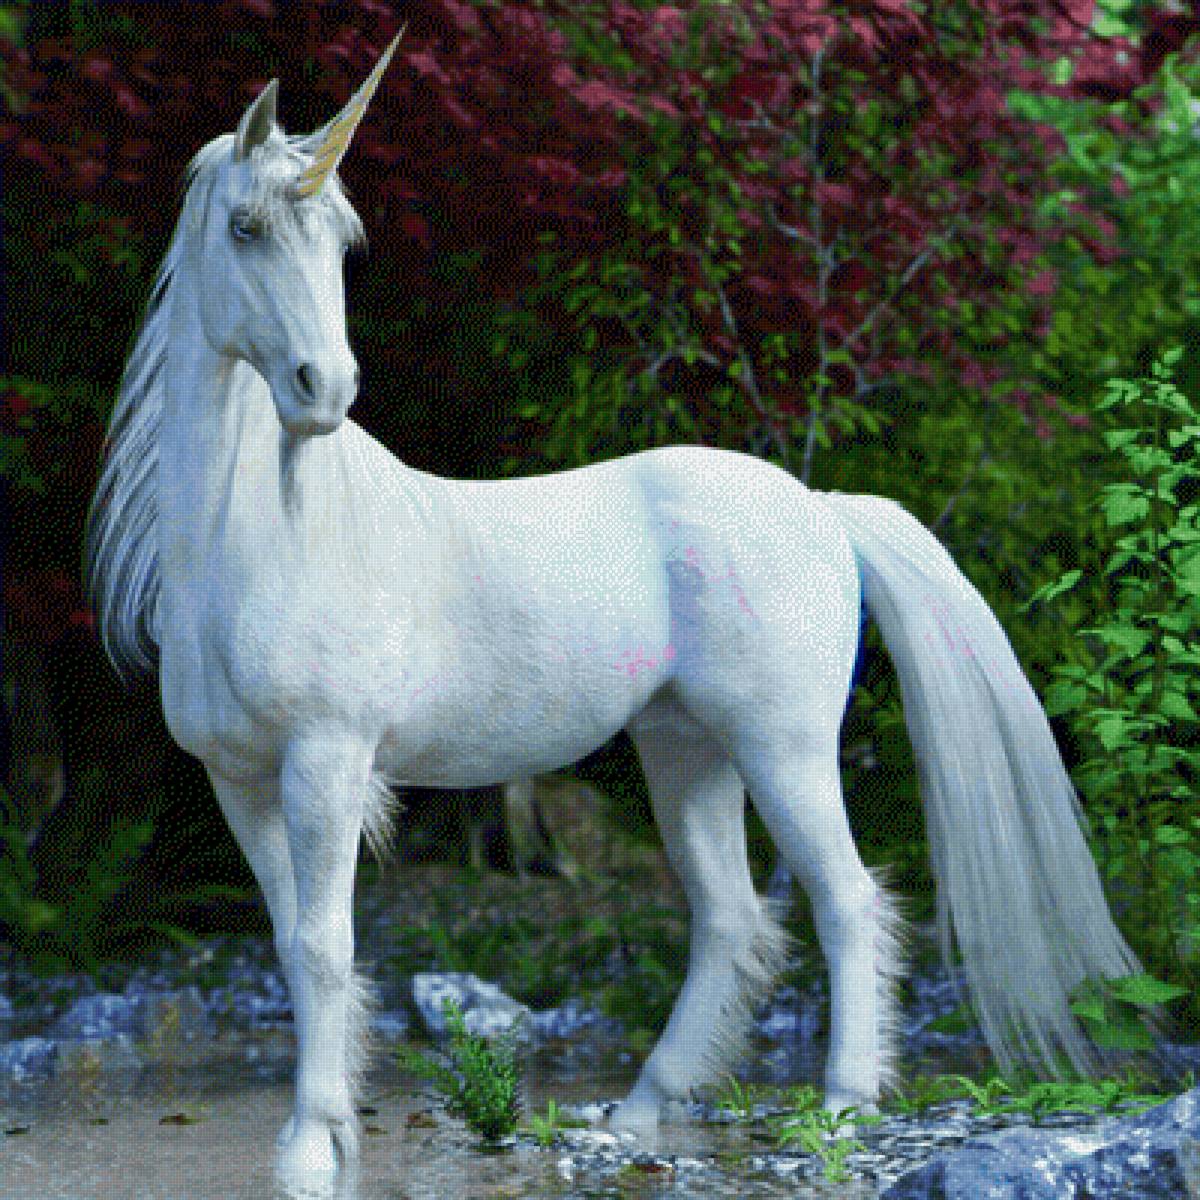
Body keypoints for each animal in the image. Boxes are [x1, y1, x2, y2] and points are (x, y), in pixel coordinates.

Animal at [84, 30, 1156, 1197]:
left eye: (341, 246)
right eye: (245, 229)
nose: (326, 390)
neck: (257, 542)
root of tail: (820, 507)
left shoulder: (325, 762)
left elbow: (325, 948)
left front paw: (311, 1147)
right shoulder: (241, 782)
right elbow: (292, 946)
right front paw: (329, 1137)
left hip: (782, 749)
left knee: (845, 899)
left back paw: (838, 1107)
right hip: (687, 751)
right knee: (732, 919)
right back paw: (644, 1109)